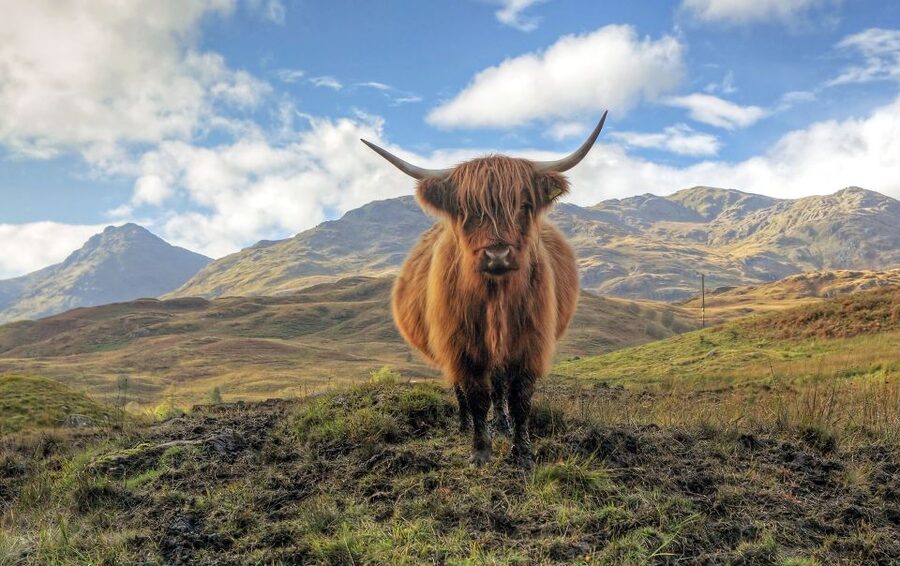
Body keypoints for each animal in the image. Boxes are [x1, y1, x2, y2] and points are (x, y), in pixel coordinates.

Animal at [362, 113, 606, 468]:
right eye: (465, 210)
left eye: (524, 205)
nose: (498, 254)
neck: (495, 299)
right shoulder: (460, 344)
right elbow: (475, 396)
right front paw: (479, 451)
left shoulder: (529, 344)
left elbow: (519, 399)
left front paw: (522, 453)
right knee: (462, 389)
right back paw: (464, 425)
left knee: (499, 387)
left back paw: (502, 425)